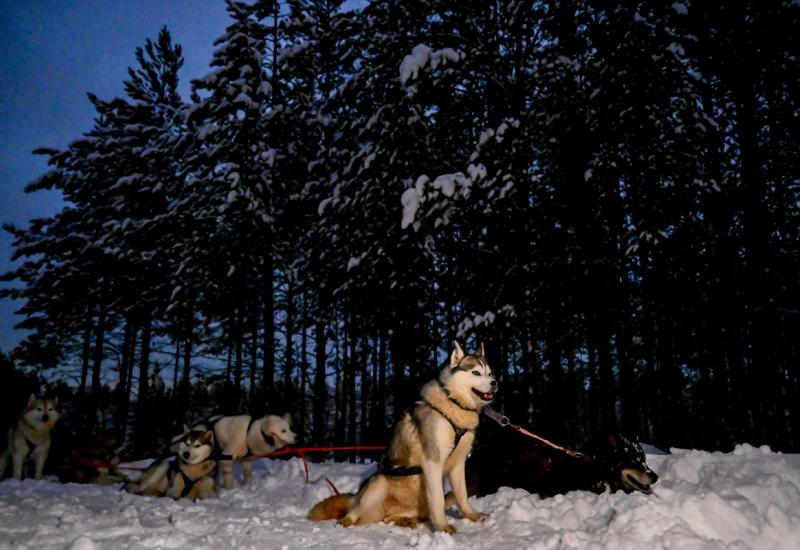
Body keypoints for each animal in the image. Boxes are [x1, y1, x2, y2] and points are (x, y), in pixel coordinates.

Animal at [310, 342, 496, 536]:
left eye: (490, 373)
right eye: (476, 373)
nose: (495, 383)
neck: (454, 404)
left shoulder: (458, 464)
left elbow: (462, 495)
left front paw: (471, 516)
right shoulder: (433, 463)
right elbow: (438, 500)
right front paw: (442, 527)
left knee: (389, 518)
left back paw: (405, 521)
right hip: (378, 485)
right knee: (354, 511)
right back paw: (346, 521)